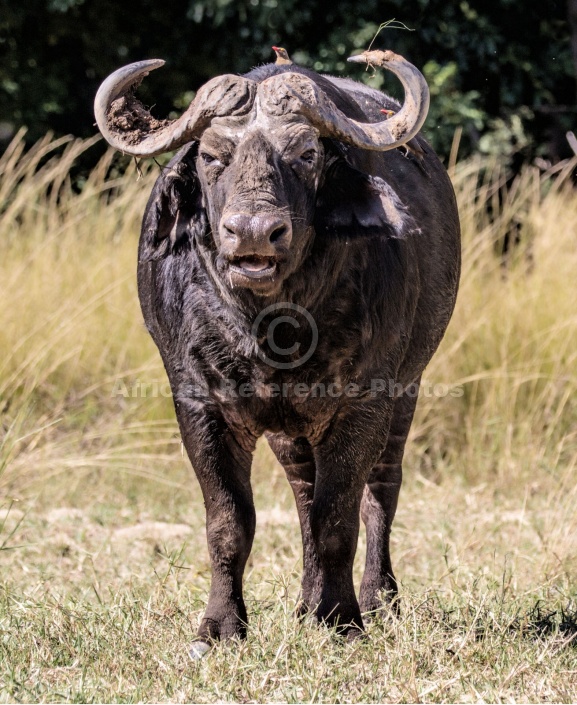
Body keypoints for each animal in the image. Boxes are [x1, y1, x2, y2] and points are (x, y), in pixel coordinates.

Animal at [97, 51, 462, 656]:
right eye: (211, 156)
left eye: (305, 154)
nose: (253, 234)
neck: (273, 328)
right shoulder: (199, 406)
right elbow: (230, 522)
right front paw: (220, 627)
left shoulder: (366, 402)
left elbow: (338, 517)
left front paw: (342, 619)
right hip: (290, 432)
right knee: (303, 493)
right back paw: (305, 602)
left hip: (405, 393)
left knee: (379, 492)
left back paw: (376, 599)